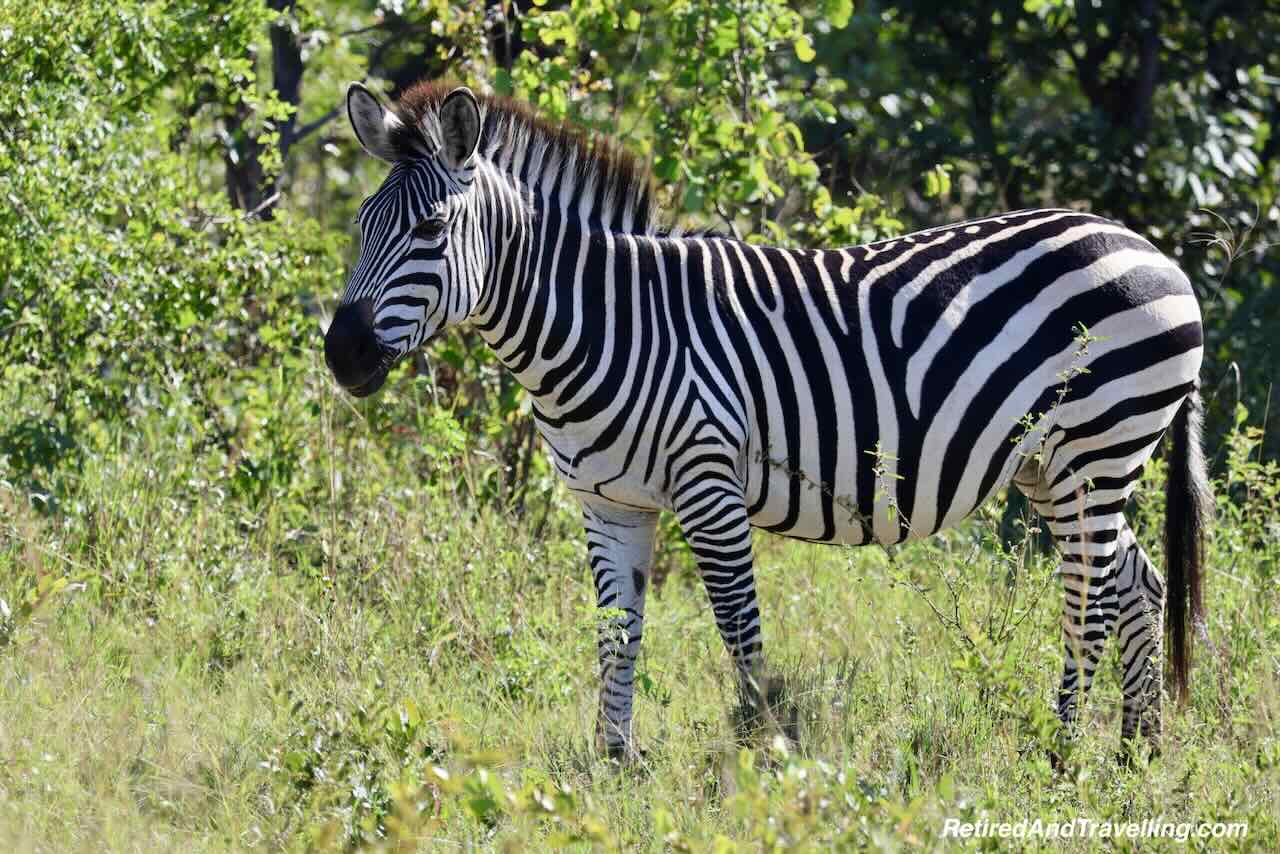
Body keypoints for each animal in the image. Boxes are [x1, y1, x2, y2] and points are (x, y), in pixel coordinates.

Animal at [327, 80, 1208, 763]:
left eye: (430, 230)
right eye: (362, 226)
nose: (342, 354)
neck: (608, 322)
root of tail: (1150, 246)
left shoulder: (708, 483)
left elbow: (738, 628)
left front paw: (764, 755)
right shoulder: (609, 503)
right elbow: (617, 633)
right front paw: (615, 762)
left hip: (1098, 444)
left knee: (1090, 596)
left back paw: (1062, 752)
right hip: (1053, 466)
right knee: (1136, 581)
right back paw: (1136, 751)